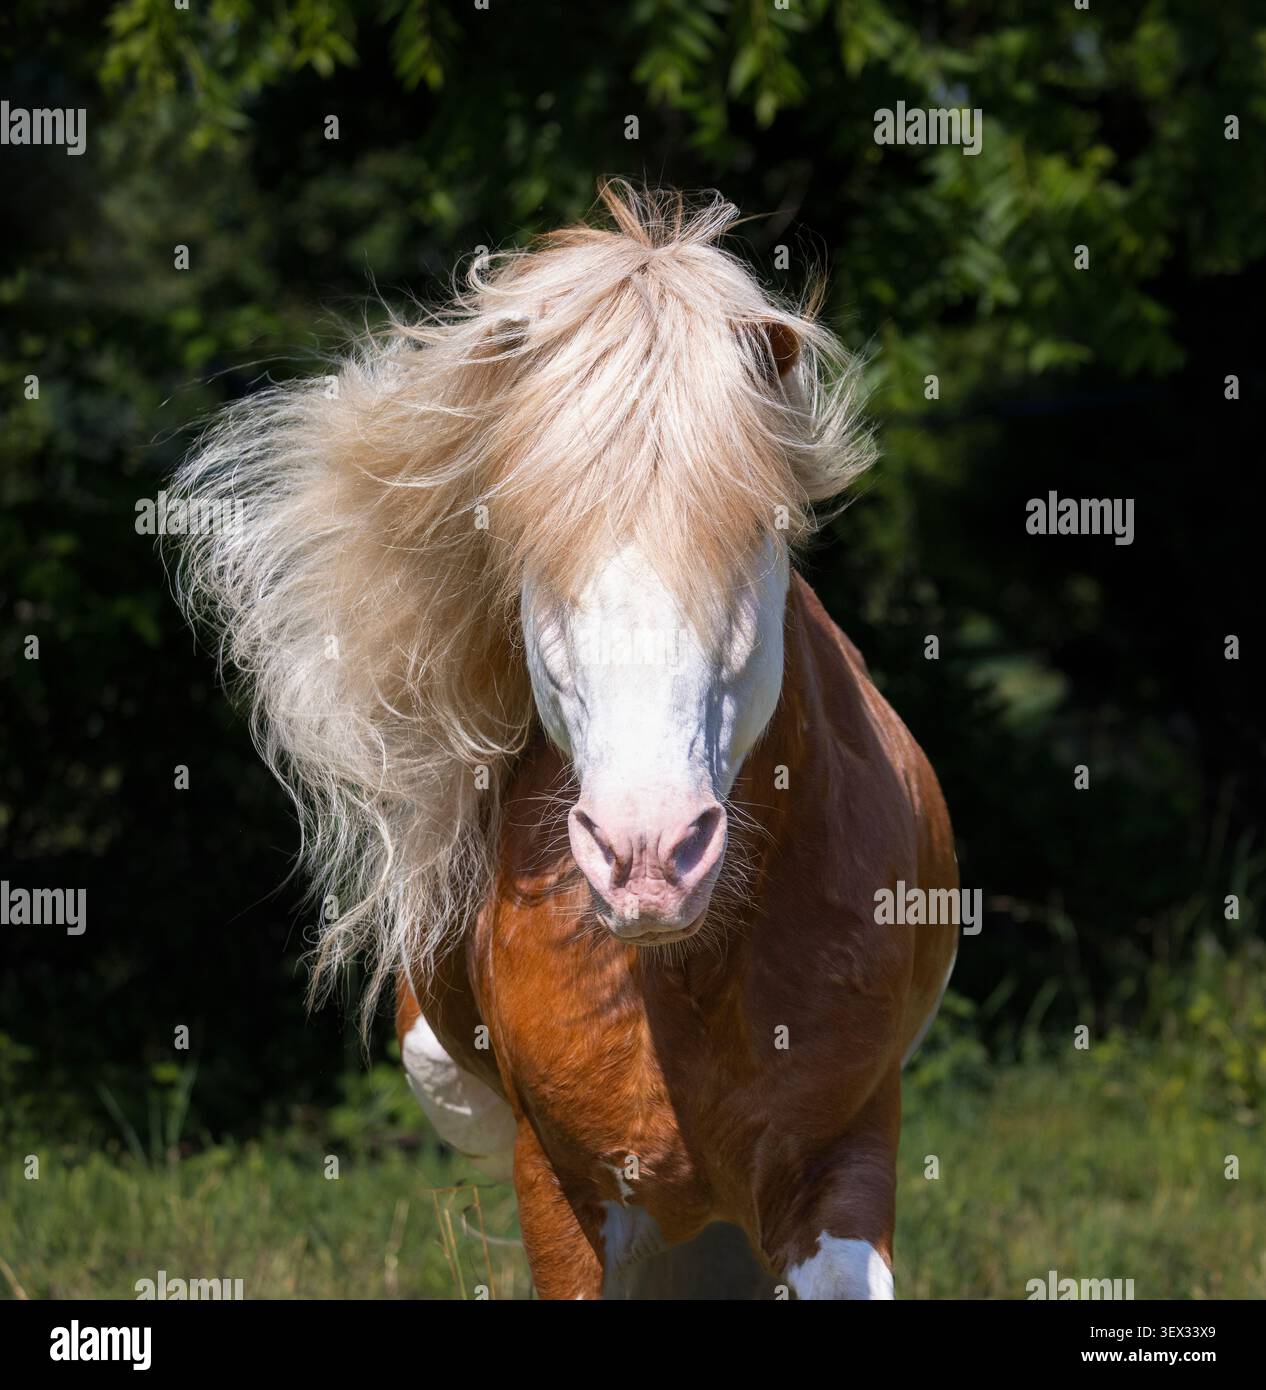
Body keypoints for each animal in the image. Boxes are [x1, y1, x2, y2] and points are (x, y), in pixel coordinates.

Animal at [172, 181, 958, 1299]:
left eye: (754, 542)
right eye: (535, 558)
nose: (648, 854)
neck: (687, 981)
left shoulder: (842, 1159)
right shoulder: (561, 1188)